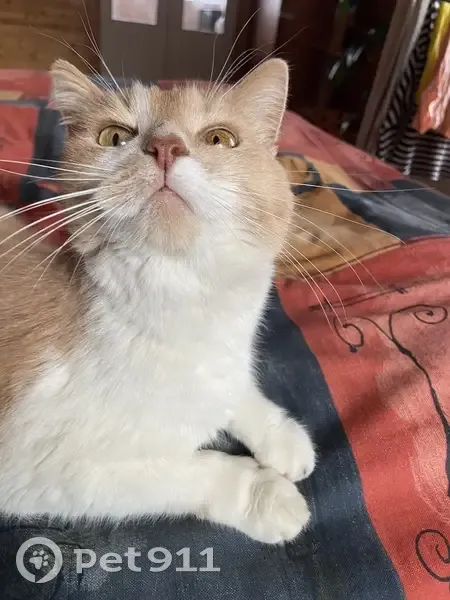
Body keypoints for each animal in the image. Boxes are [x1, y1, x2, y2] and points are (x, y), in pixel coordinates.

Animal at [0, 58, 315, 544]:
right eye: (114, 136)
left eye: (220, 138)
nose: (166, 146)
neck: (184, 311)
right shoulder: (45, 468)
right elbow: (190, 471)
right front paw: (266, 496)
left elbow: (236, 391)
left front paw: (282, 436)